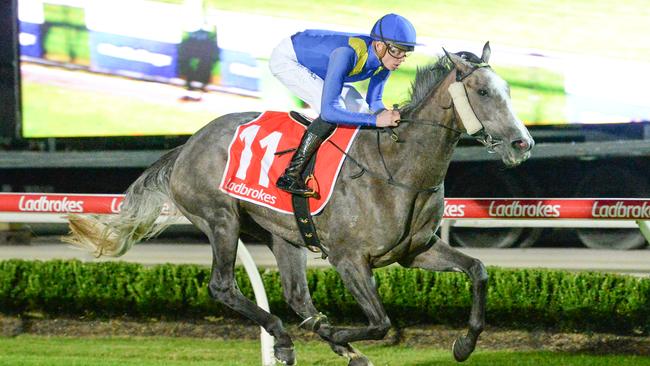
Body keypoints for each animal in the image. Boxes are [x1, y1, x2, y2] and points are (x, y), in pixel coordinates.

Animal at [66, 42, 532, 364]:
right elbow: (380, 322)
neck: (399, 170)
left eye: (509, 89)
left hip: (283, 234)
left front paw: (464, 343)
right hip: (221, 219)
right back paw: (288, 338)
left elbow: (478, 271)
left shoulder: (415, 251)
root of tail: (186, 146)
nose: (522, 143)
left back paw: (322, 340)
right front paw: (342, 336)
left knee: (296, 296)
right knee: (223, 286)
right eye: (484, 91)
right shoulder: (349, 259)